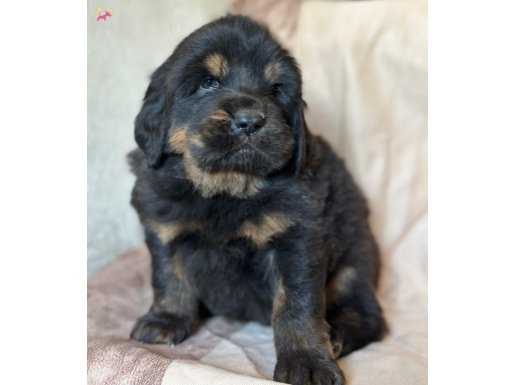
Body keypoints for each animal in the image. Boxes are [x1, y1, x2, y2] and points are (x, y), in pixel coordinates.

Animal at [129, 15, 388, 384]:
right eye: (208, 82)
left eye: (276, 89)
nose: (250, 121)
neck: (226, 189)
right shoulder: (165, 226)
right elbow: (169, 277)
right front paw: (166, 320)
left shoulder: (296, 239)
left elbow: (297, 305)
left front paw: (307, 361)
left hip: (354, 263)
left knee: (367, 314)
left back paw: (338, 335)